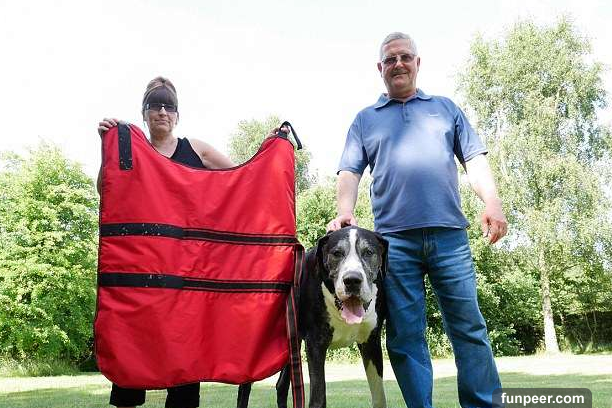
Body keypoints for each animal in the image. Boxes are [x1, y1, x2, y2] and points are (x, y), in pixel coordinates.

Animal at [237, 226, 388, 408]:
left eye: (368, 252)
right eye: (337, 253)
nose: (352, 280)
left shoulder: (371, 343)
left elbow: (379, 396)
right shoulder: (316, 344)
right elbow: (318, 397)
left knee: (281, 385)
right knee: (245, 388)